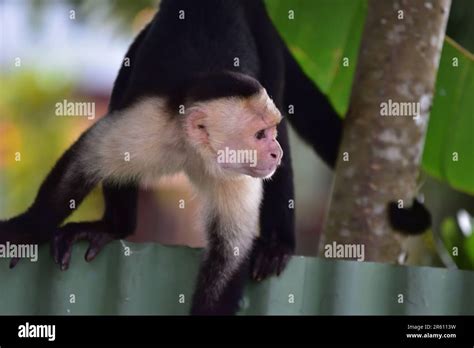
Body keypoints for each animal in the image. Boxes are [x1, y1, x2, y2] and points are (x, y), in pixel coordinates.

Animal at [0, 0, 430, 316]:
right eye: (258, 135)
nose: (271, 148)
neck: (193, 152)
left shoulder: (239, 175)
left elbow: (230, 254)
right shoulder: (148, 125)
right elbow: (83, 161)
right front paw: (23, 230)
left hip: (265, 34)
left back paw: (278, 243)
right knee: (124, 86)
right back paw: (114, 226)